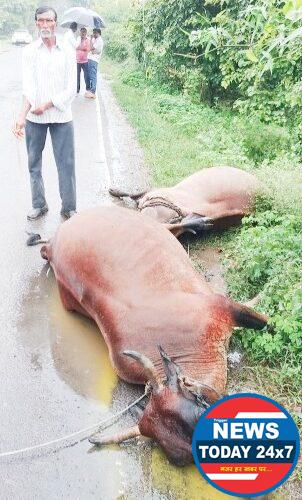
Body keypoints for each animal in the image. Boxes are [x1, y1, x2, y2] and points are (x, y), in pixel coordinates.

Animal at [40, 204, 266, 464]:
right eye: (179, 458)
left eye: (199, 411)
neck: (184, 347)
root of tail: (52, 243)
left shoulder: (220, 306)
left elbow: (264, 320)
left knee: (167, 226)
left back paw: (196, 222)